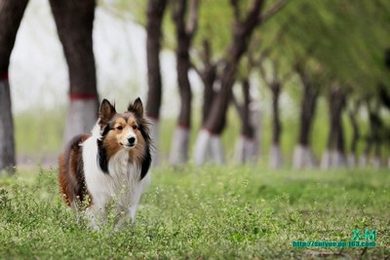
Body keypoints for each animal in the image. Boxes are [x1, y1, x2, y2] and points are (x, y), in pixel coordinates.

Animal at [58, 97, 152, 228]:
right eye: (119, 127)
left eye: (135, 127)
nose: (132, 139)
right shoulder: (96, 200)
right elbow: (97, 222)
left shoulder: (126, 201)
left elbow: (118, 224)